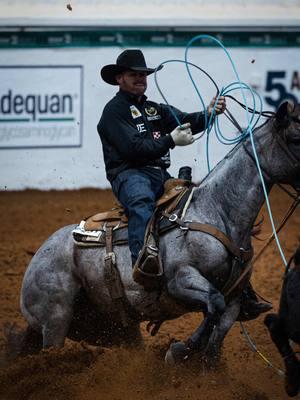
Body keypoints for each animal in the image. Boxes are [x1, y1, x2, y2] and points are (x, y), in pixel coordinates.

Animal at [13, 101, 300, 366]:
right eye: (295, 137)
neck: (217, 212)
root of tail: (37, 255)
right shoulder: (180, 280)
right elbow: (213, 304)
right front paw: (180, 351)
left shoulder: (236, 298)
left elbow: (216, 338)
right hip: (56, 319)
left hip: (114, 325)